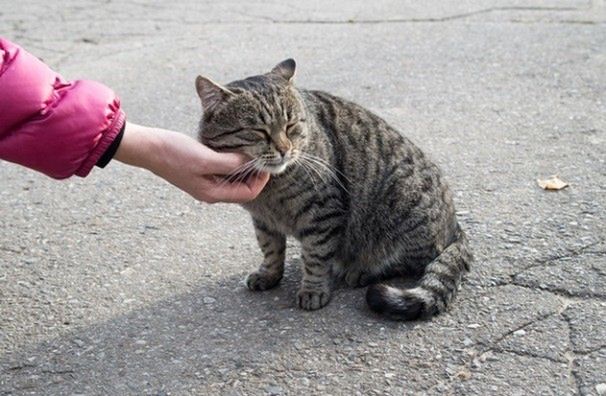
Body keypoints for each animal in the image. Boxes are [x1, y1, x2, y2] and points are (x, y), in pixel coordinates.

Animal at [197, 58, 472, 320]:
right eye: (258, 131)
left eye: (290, 125)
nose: (285, 149)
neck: (272, 191)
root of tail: (455, 227)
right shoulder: (263, 220)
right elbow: (270, 249)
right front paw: (269, 275)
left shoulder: (322, 212)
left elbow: (316, 256)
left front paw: (313, 289)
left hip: (402, 206)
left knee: (414, 260)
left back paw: (360, 271)